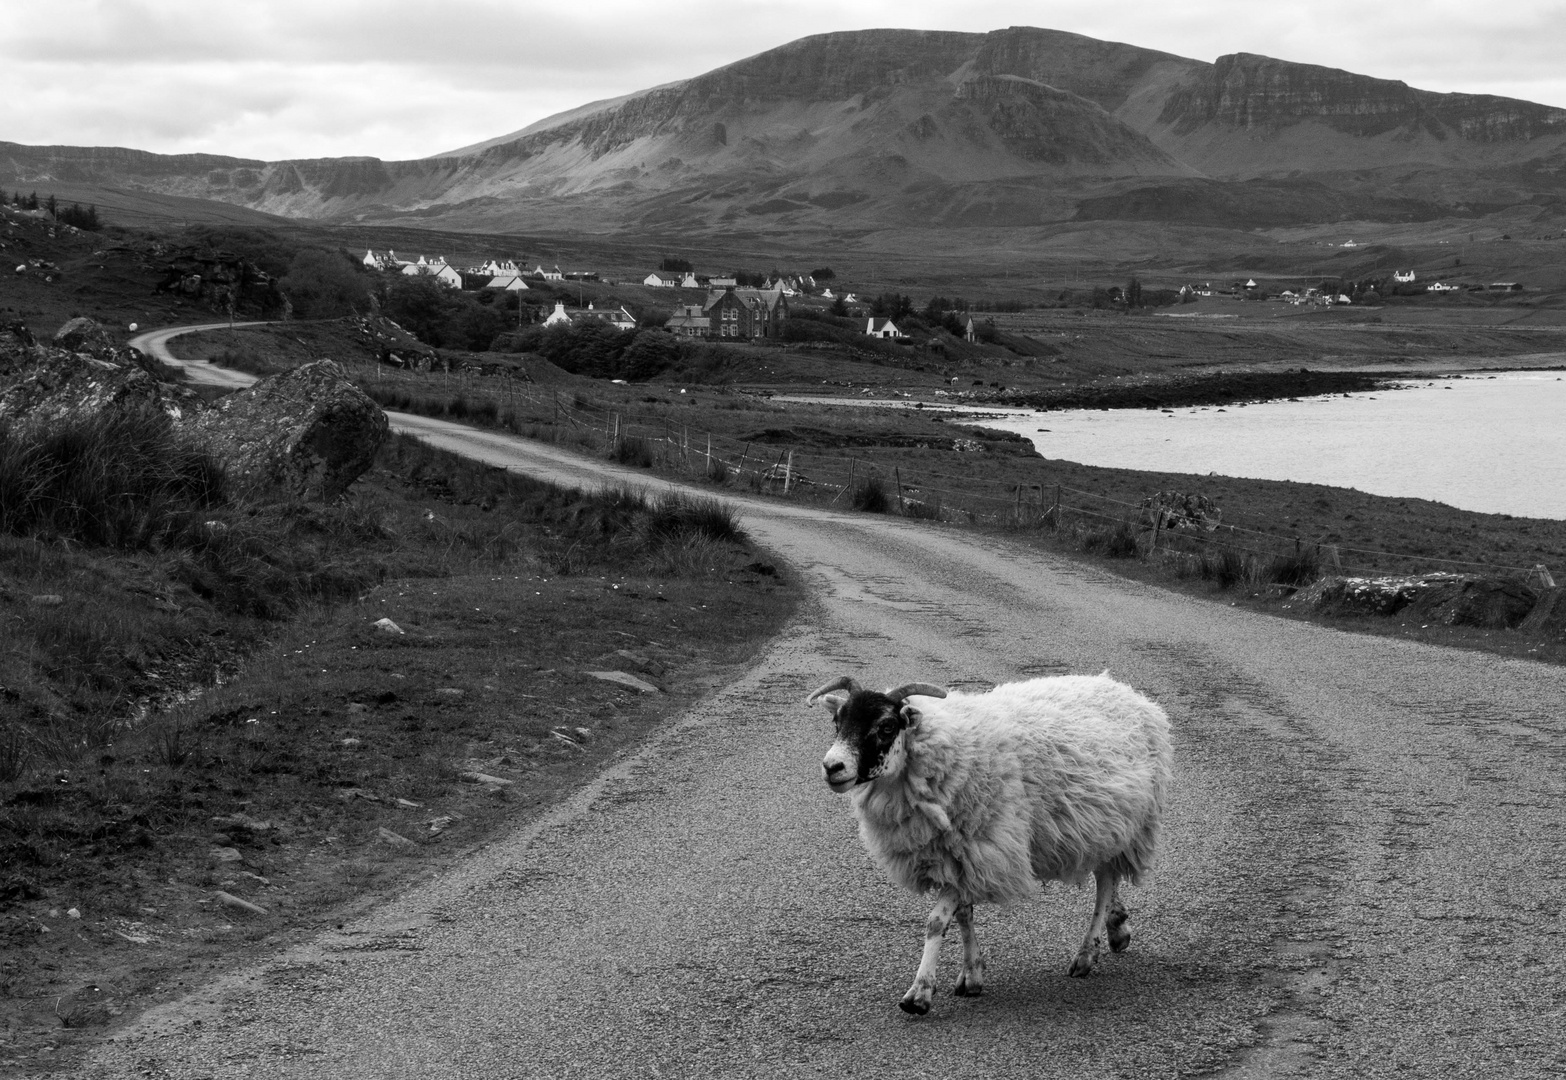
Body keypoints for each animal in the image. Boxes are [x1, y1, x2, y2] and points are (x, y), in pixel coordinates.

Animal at [814, 669, 1171, 1014]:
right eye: (837, 721)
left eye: (886, 726)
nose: (832, 767)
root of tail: (1123, 690)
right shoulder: (957, 856)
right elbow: (963, 915)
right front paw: (972, 974)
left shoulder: (980, 849)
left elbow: (936, 921)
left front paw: (919, 993)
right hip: (1103, 824)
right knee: (1108, 878)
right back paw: (1117, 927)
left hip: (1128, 823)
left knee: (1105, 883)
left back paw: (1087, 953)